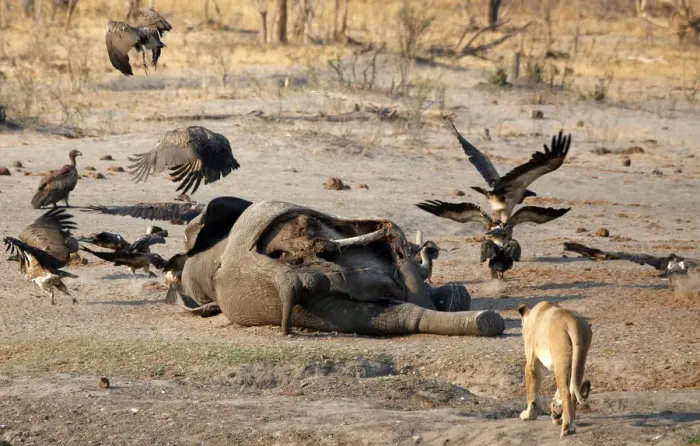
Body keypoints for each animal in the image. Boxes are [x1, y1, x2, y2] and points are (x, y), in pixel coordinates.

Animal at [517, 301, 592, 437]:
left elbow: (532, 392)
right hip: (579, 359)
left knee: (566, 393)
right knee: (573, 392)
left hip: (560, 360)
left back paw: (567, 428)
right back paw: (569, 422)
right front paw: (556, 412)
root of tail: (572, 321)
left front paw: (529, 415)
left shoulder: (532, 363)